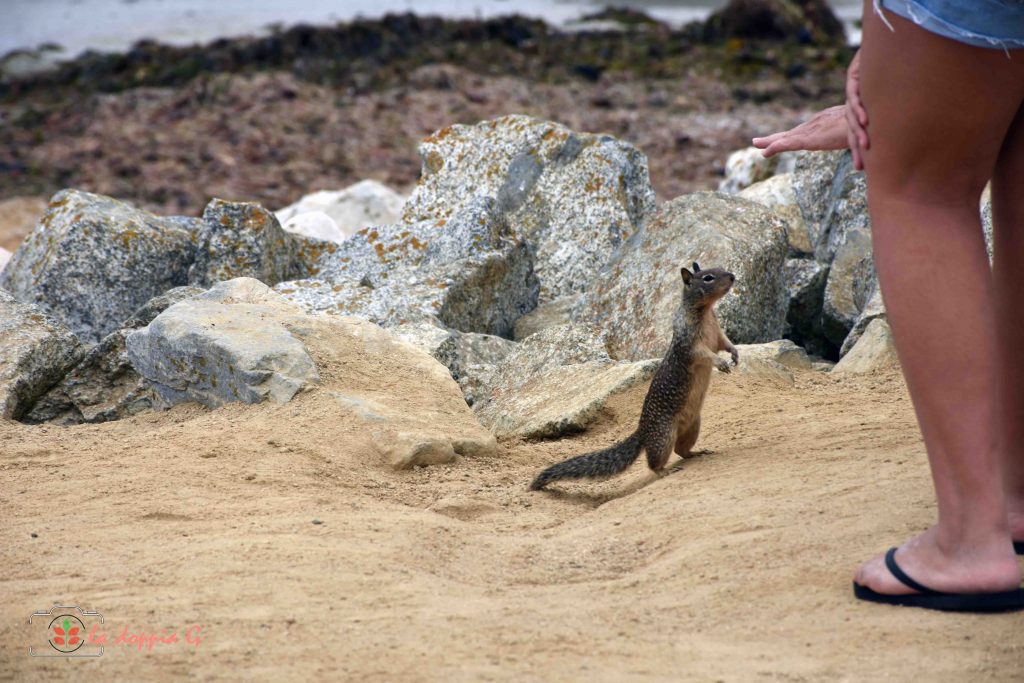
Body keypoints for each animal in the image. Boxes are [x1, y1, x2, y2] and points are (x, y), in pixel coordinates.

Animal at [528, 264, 737, 491]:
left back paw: (697, 452)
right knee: (654, 461)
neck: (706, 312)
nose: (733, 277)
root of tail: (642, 431)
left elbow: (726, 343)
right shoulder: (690, 343)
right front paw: (721, 362)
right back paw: (664, 470)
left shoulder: (717, 334)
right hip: (663, 436)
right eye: (708, 278)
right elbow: (705, 354)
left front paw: (734, 354)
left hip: (693, 427)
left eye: (721, 268)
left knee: (681, 450)